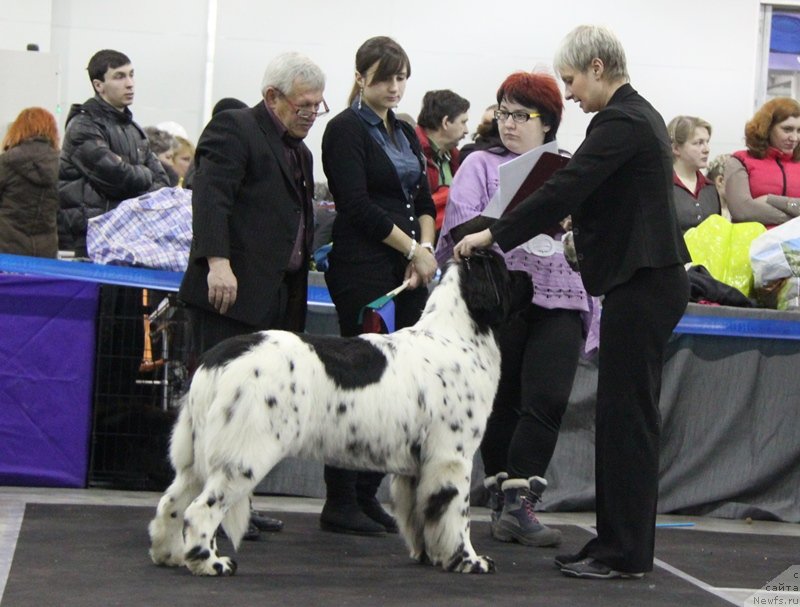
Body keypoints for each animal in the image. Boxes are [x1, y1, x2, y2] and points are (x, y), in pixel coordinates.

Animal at [148, 249, 536, 576]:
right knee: (200, 509)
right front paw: (470, 561)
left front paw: (431, 557)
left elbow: (423, 514)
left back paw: (169, 555)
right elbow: (456, 513)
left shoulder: (420, 466)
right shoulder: (451, 457)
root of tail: (218, 358)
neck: (456, 336)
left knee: (172, 501)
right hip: (244, 455)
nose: (532, 279)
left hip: (196, 454)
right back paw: (211, 563)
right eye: (505, 269)